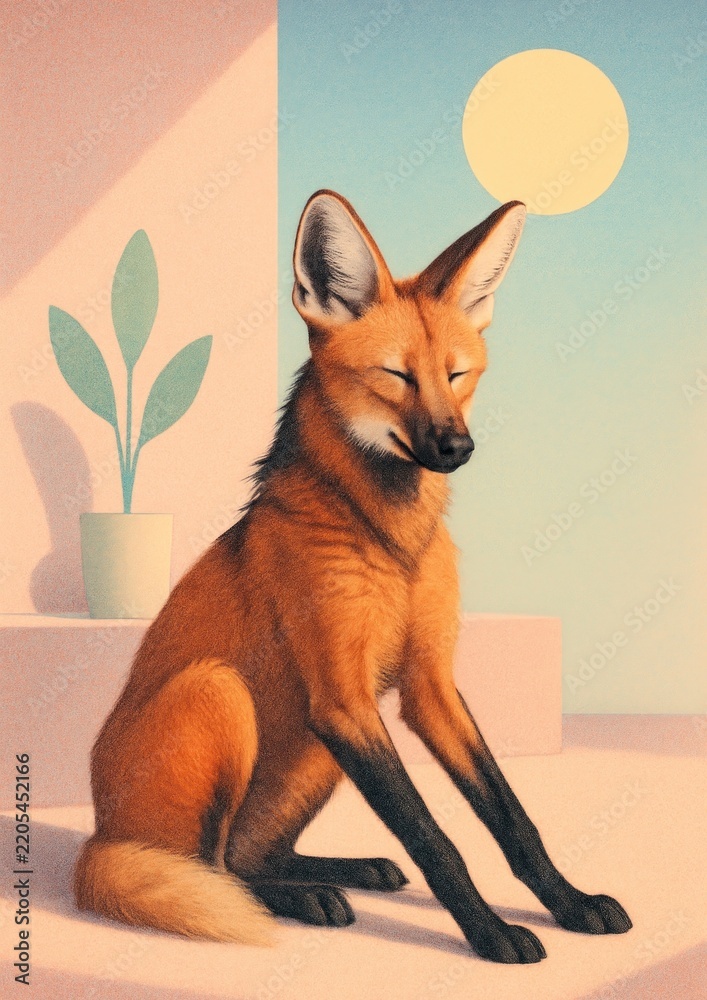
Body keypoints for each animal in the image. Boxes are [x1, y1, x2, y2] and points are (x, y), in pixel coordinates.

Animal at [74, 191, 631, 964]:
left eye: (457, 375)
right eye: (396, 376)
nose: (457, 446)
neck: (394, 548)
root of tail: (99, 839)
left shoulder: (425, 687)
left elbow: (511, 818)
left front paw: (569, 903)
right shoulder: (342, 698)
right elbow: (437, 839)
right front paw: (490, 933)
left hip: (317, 755)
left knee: (249, 855)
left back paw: (342, 871)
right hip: (226, 694)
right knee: (217, 870)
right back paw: (306, 898)